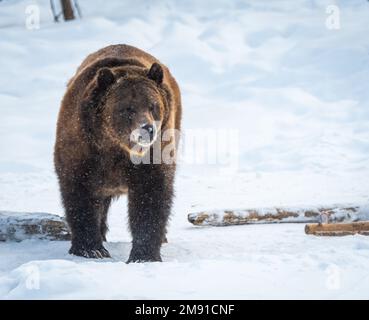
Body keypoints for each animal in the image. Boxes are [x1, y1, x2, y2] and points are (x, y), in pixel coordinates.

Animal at [53, 43, 181, 262]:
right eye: (127, 108)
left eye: (153, 105)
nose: (147, 129)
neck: (116, 148)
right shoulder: (83, 151)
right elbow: (80, 194)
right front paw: (90, 248)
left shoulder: (154, 155)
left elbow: (150, 197)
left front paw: (144, 254)